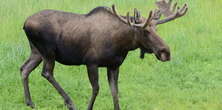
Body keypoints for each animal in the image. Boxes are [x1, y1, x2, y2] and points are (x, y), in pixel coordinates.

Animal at [20, 0, 188, 109]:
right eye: (145, 31)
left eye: (156, 28)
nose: (165, 52)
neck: (121, 45)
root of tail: (24, 23)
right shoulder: (91, 63)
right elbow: (96, 89)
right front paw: (88, 108)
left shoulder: (114, 66)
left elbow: (115, 92)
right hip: (48, 51)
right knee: (46, 72)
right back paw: (70, 102)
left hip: (36, 51)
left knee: (24, 68)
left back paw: (30, 102)